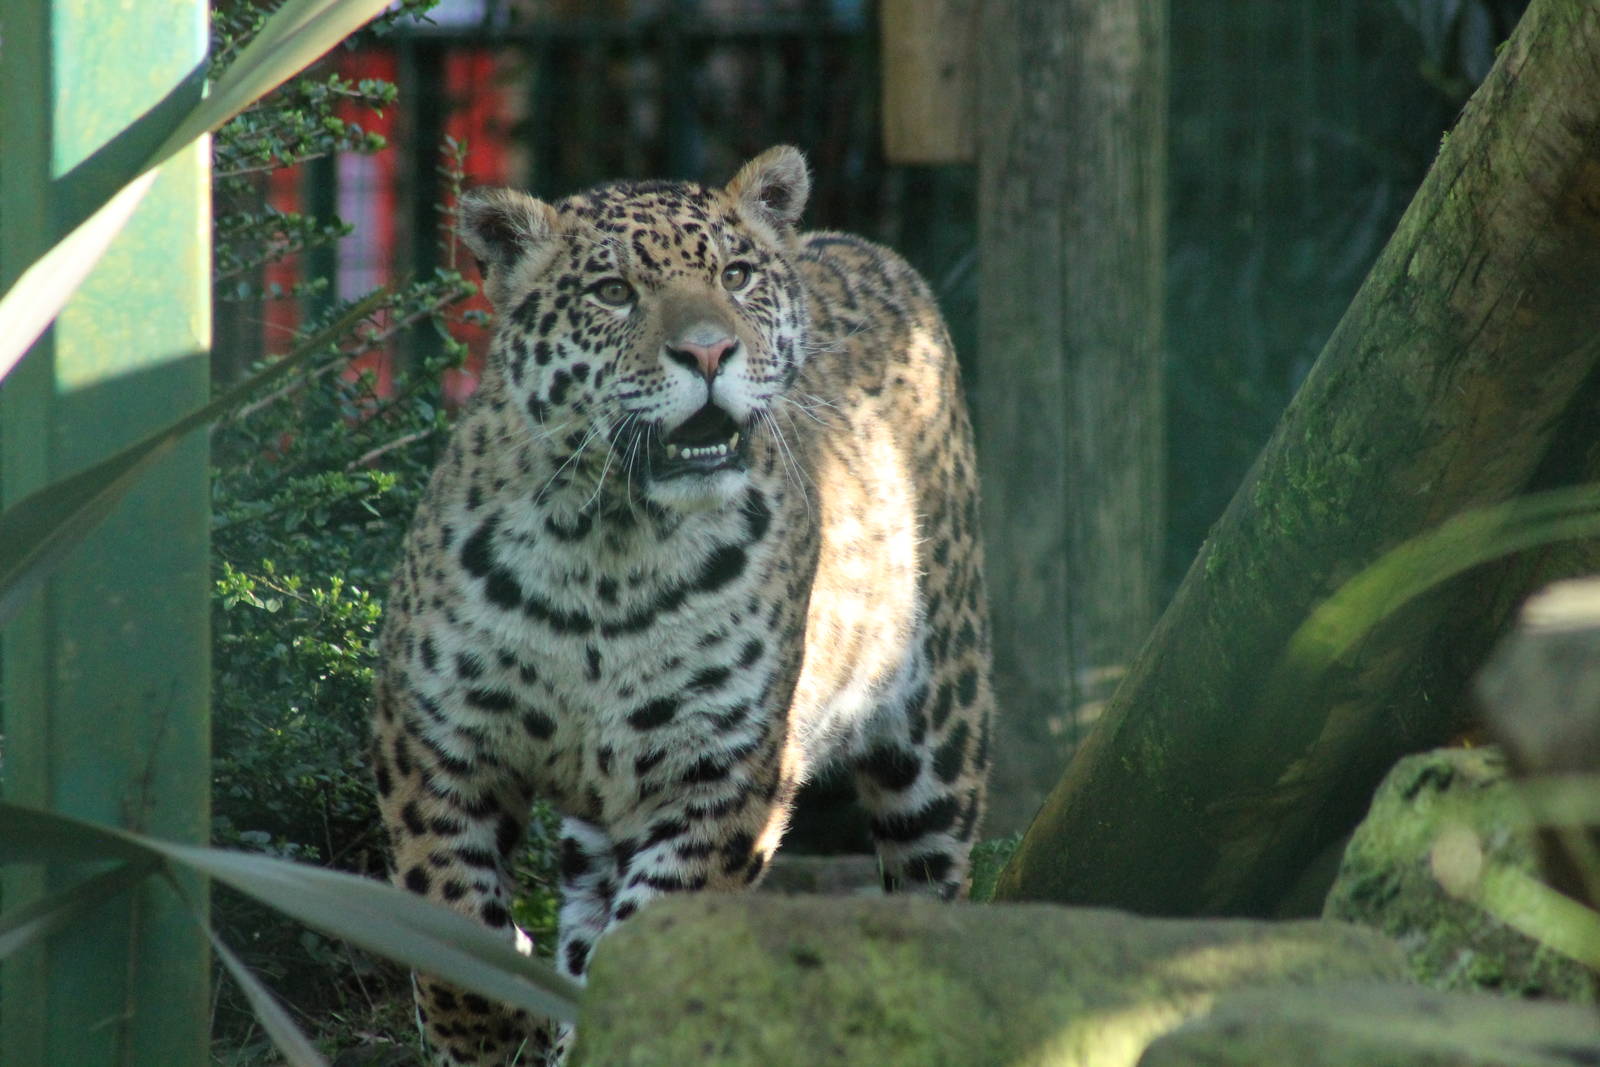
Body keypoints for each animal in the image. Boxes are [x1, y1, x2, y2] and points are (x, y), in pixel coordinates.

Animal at [371, 146, 995, 1065]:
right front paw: (495, 1029)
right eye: (612, 291)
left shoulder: (721, 772)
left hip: (939, 739)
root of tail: (862, 244)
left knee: (932, 887)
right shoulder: (434, 744)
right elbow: (448, 919)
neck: (608, 547)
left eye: (735, 277)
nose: (709, 353)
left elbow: (655, 940)